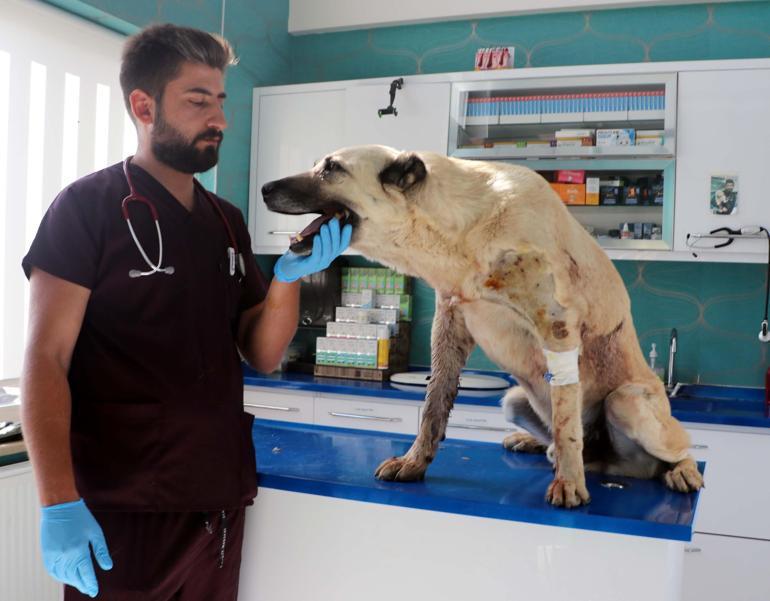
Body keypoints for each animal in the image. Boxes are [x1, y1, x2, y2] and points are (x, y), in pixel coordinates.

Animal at [262, 145, 704, 506]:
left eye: (331, 168)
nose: (264, 187)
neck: (464, 233)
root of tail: (606, 460)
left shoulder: (557, 328)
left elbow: (566, 425)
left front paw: (569, 483)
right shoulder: (449, 324)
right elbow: (433, 407)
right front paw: (414, 462)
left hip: (627, 400)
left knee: (674, 448)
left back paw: (679, 471)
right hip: (514, 398)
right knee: (562, 442)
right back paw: (536, 445)